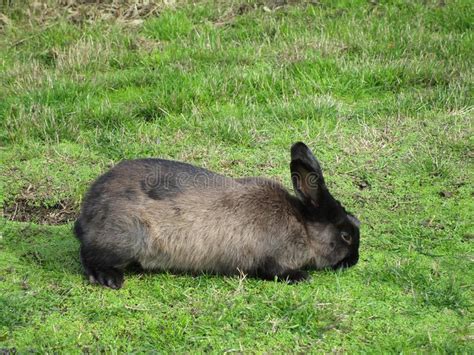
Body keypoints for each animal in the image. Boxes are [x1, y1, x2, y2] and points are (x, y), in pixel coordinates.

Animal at [73, 142, 360, 290]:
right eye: (346, 235)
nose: (354, 261)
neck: (303, 226)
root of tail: (86, 215)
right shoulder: (272, 260)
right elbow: (275, 271)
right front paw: (301, 277)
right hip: (126, 238)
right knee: (90, 257)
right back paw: (110, 279)